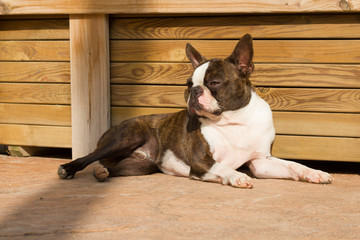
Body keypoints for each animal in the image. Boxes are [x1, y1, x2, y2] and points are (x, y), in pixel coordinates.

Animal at [57, 33, 334, 188]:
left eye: (214, 82)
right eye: (188, 84)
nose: (194, 91)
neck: (235, 121)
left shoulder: (260, 162)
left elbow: (293, 165)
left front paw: (315, 173)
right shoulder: (202, 162)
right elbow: (224, 168)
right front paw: (237, 177)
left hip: (140, 166)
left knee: (111, 168)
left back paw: (103, 173)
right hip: (126, 137)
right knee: (87, 157)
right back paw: (69, 169)